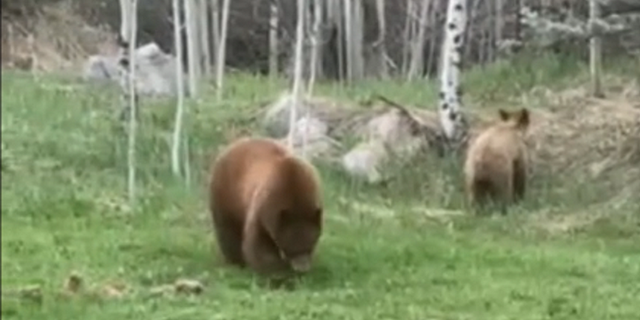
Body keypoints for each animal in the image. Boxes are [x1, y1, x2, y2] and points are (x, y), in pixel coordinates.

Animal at [208, 137, 322, 278]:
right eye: (291, 248)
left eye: (310, 245)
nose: (302, 269)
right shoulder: (264, 206)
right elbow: (259, 244)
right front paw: (278, 273)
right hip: (227, 194)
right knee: (227, 229)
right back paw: (236, 261)